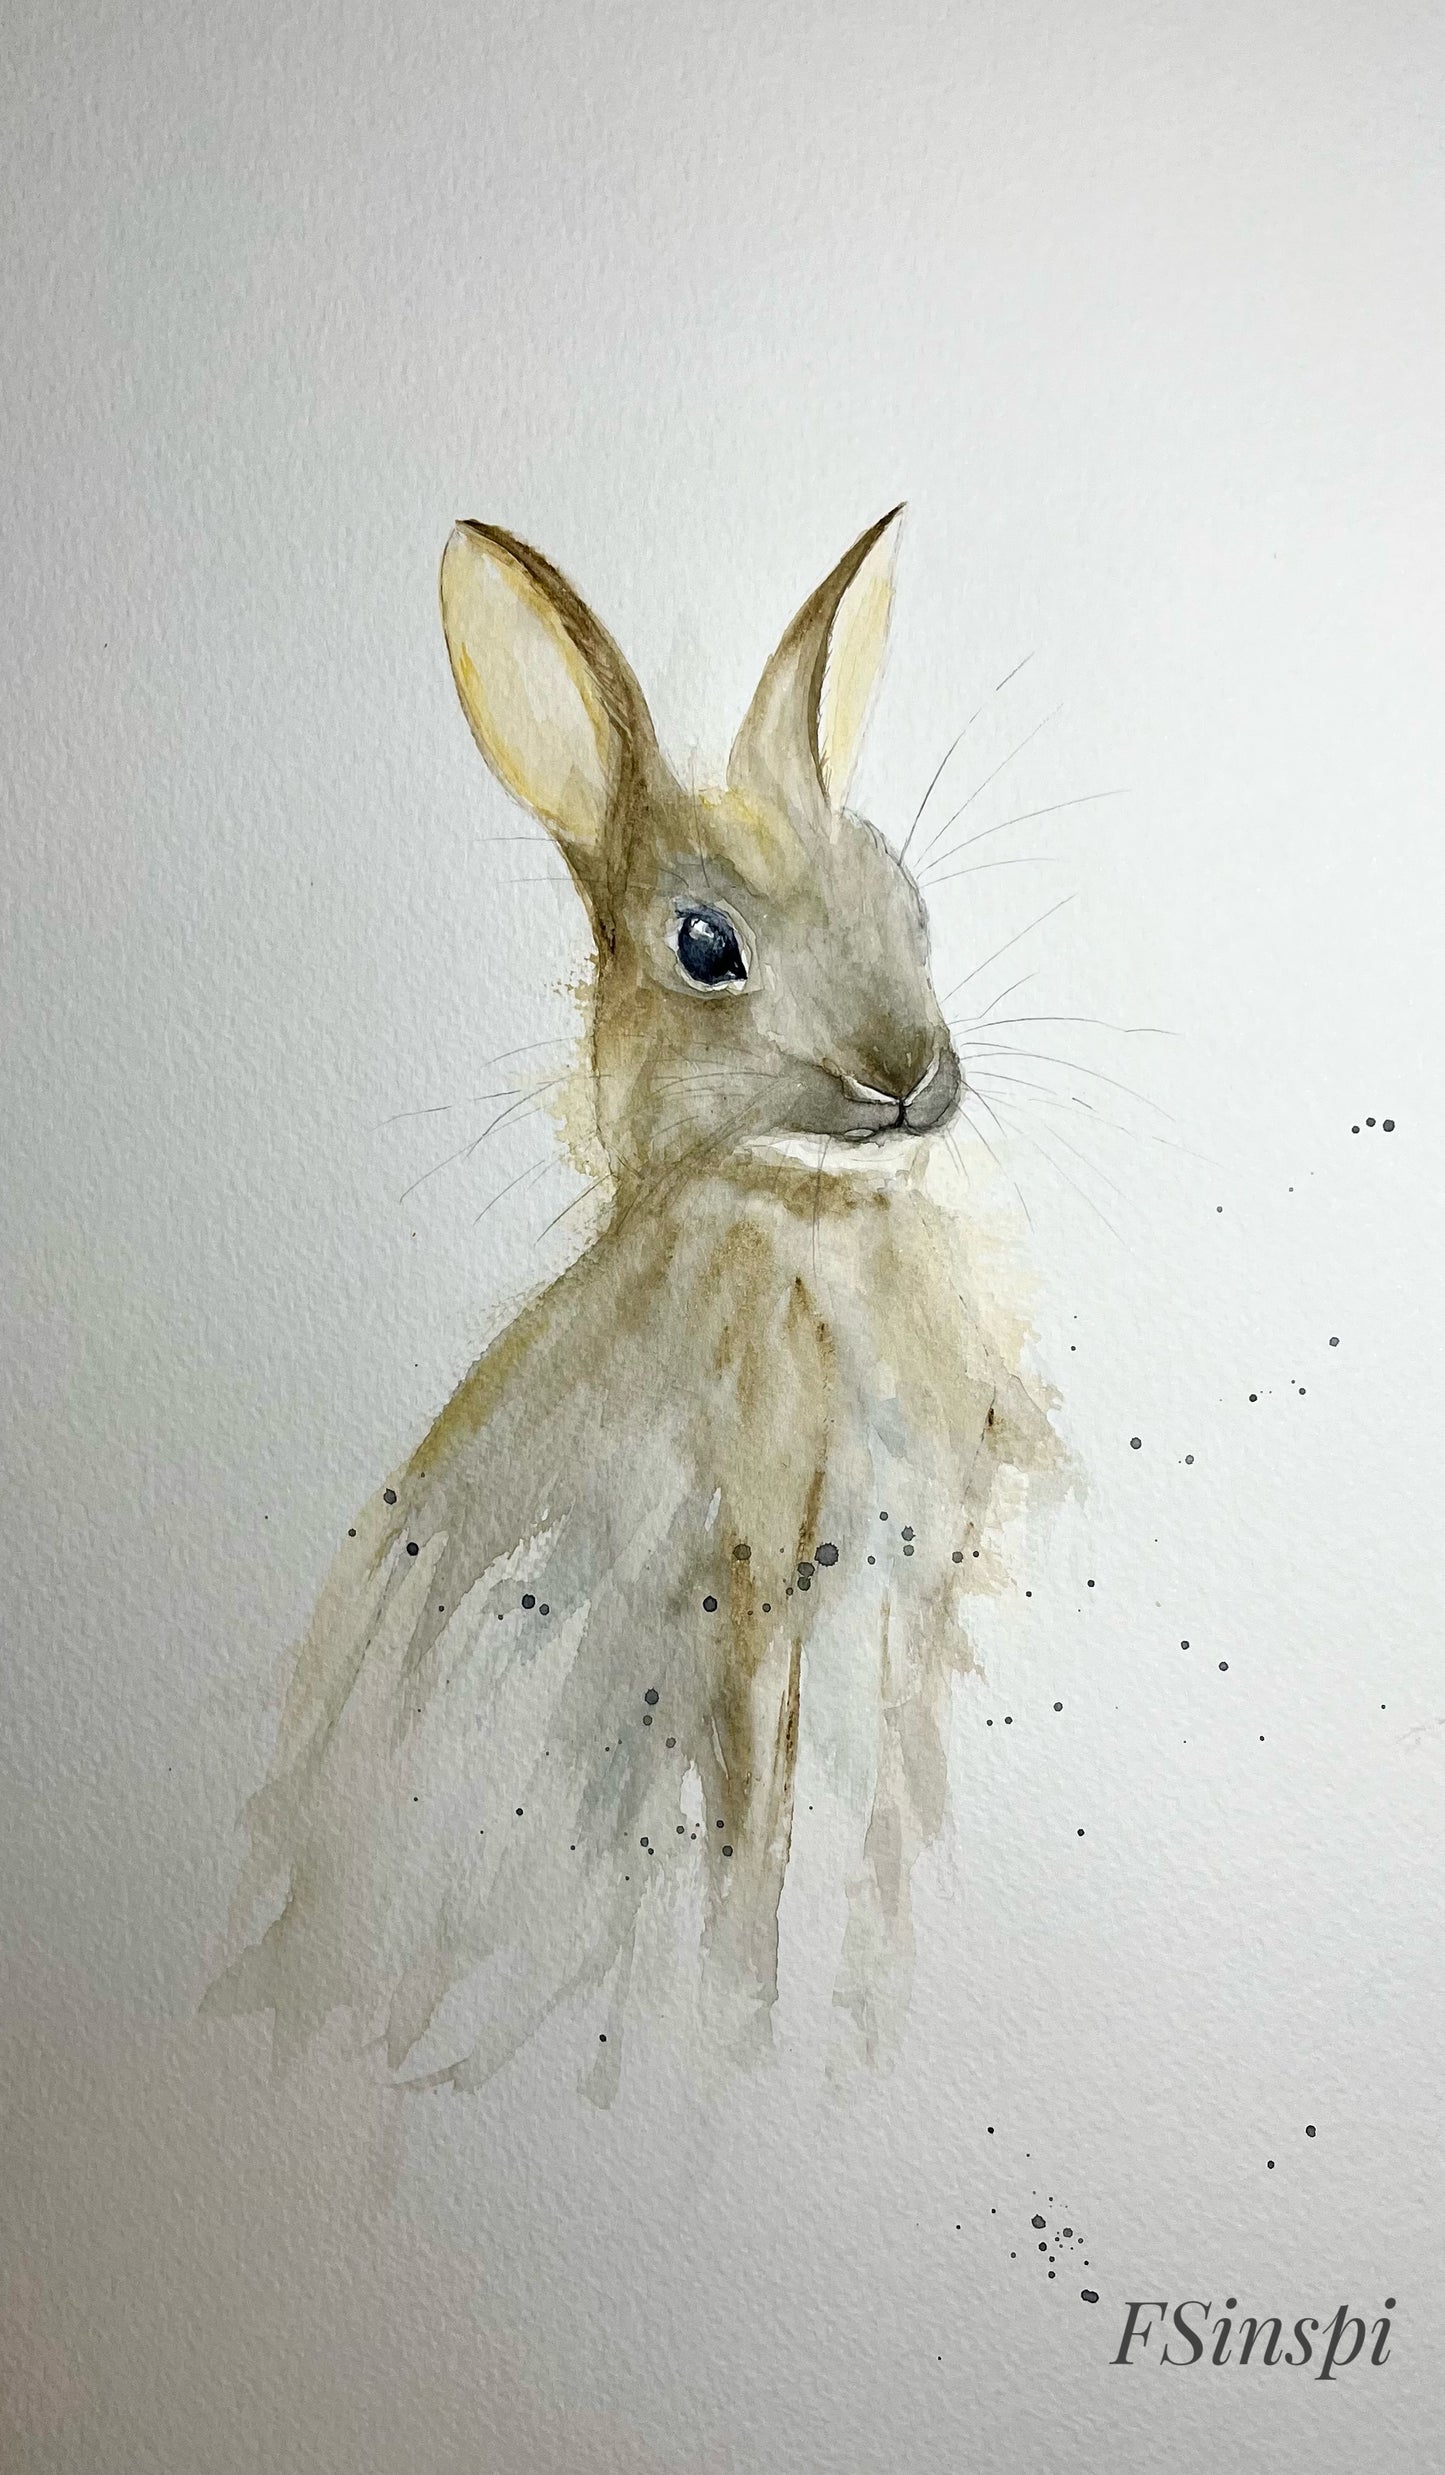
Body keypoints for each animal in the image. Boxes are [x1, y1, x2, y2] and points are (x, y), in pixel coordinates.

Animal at [207, 508, 1065, 2097]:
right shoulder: (752, 1581)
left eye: (907, 902)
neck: (794, 1220)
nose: (905, 1070)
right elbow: (753, 1840)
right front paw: (744, 2023)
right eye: (706, 949)